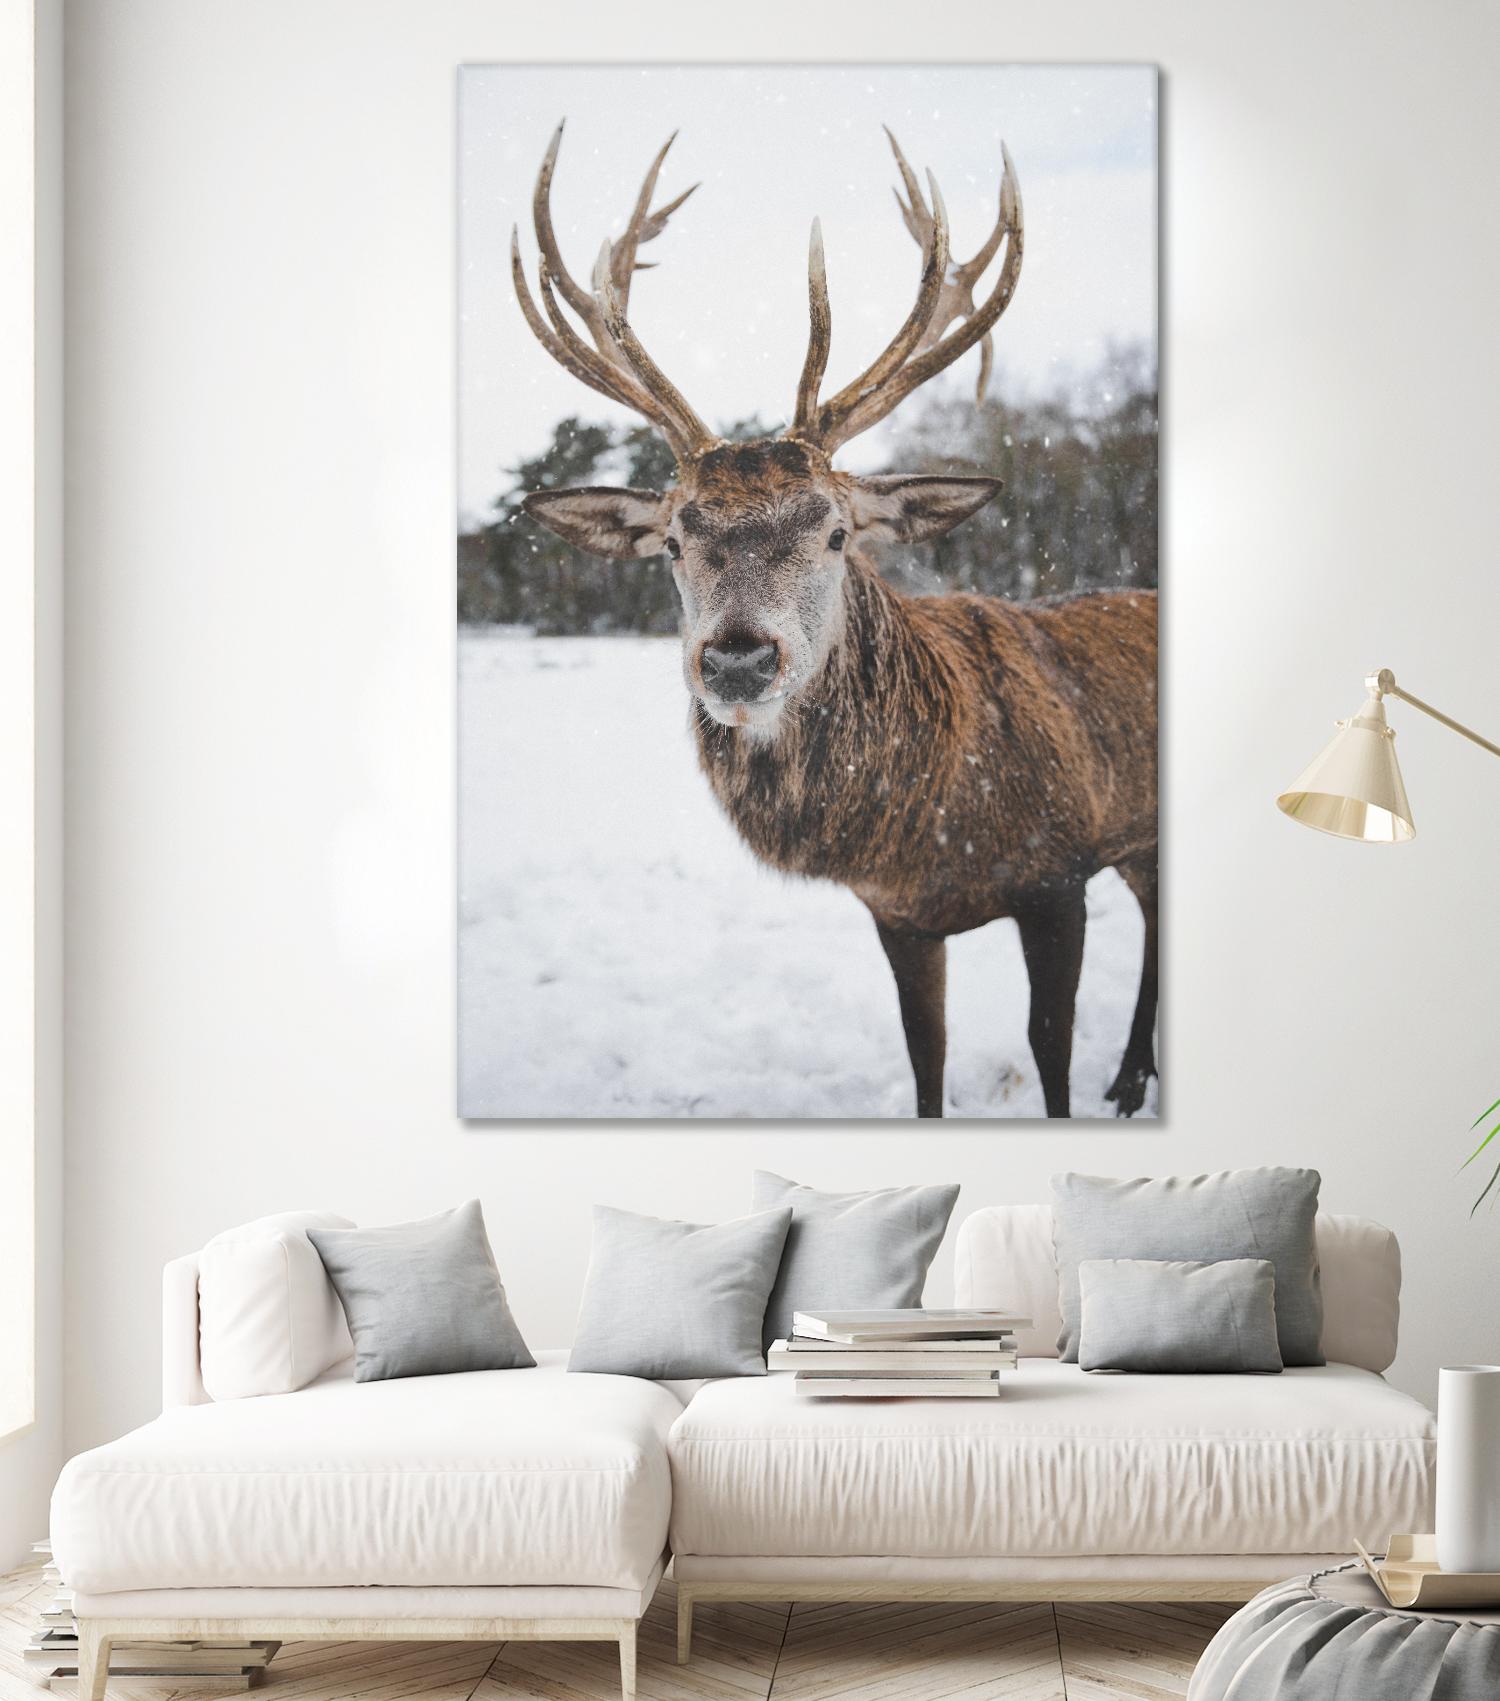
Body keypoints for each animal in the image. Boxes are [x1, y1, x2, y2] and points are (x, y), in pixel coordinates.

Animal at [509, 121, 1158, 1119]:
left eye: (837, 531)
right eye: (673, 540)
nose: (738, 660)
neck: (935, 827)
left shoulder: (1060, 872)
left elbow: (1049, 1053)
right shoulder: (896, 914)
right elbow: (926, 1056)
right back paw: (1129, 1075)